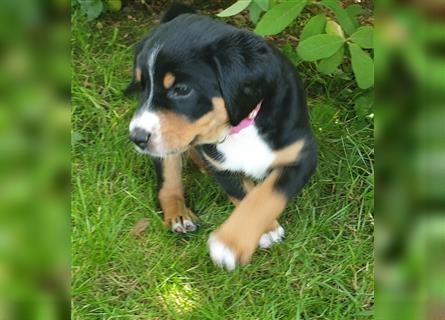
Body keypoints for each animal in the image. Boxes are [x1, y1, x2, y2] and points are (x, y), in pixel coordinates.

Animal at [124, 5, 316, 270]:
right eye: (142, 86)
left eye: (182, 90)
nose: (137, 137)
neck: (242, 126)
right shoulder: (221, 166)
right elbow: (244, 194)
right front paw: (257, 233)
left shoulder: (301, 155)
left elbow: (265, 195)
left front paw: (232, 242)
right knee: (168, 182)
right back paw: (179, 214)